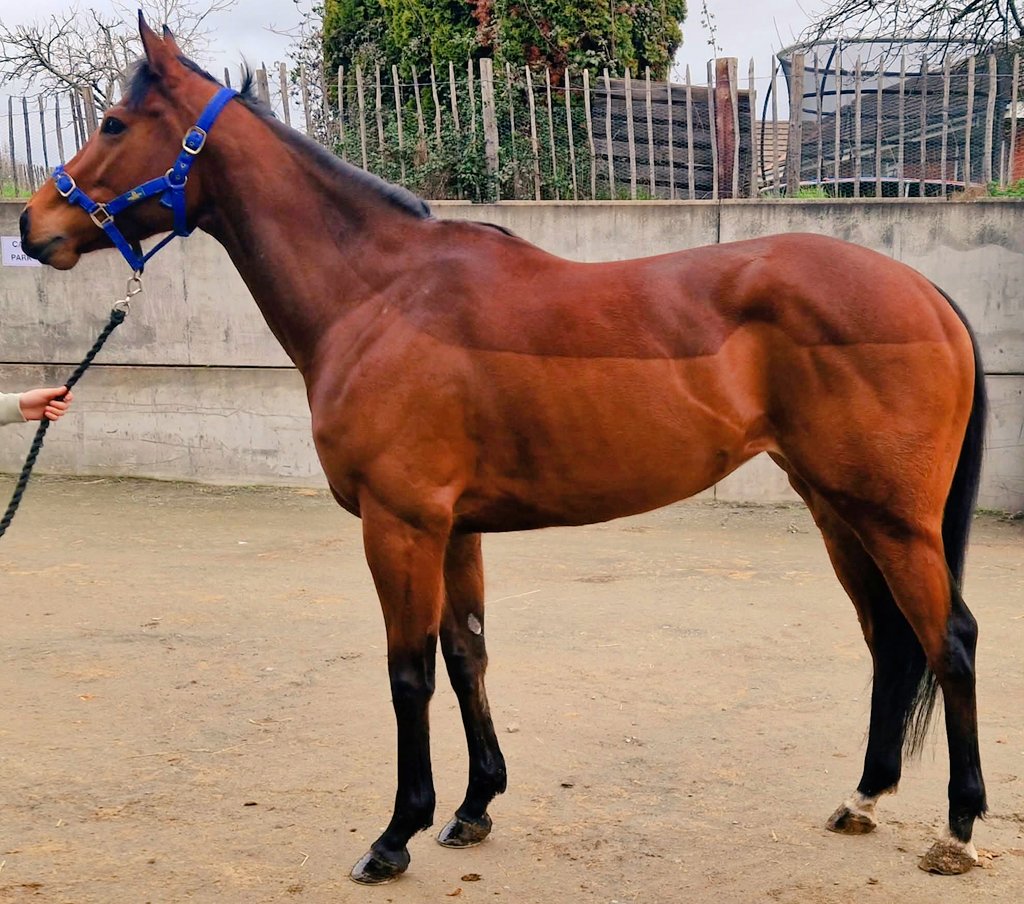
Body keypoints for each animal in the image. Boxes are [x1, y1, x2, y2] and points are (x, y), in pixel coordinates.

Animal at [20, 15, 988, 884]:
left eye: (114, 124)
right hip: (837, 508)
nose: (35, 225)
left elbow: (409, 675)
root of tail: (923, 289)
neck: (380, 295)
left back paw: (958, 827)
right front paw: (474, 807)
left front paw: (395, 835)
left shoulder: (400, 525)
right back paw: (862, 798)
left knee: (949, 639)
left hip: (892, 517)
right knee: (889, 640)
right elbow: (468, 657)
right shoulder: (455, 530)